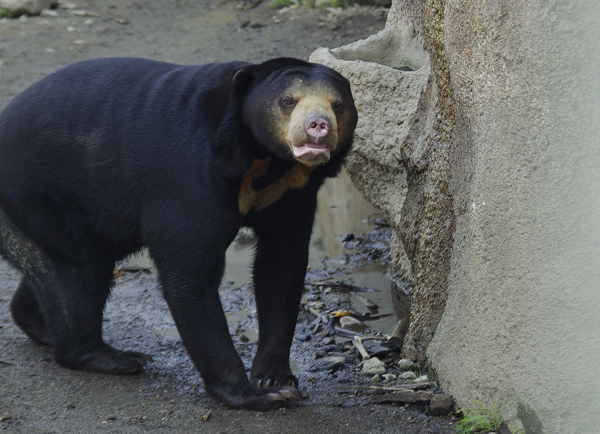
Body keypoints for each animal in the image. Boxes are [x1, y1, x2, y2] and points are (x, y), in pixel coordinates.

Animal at [0, 57, 356, 410]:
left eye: (337, 105)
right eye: (288, 101)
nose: (318, 125)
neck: (266, 161)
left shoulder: (292, 192)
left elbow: (281, 265)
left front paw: (274, 379)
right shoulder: (189, 177)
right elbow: (189, 272)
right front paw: (253, 394)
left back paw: (41, 325)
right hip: (40, 196)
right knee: (82, 271)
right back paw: (113, 356)